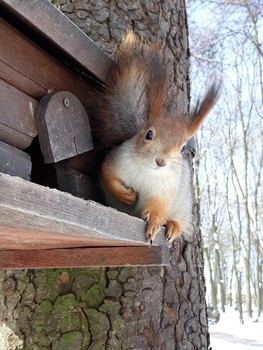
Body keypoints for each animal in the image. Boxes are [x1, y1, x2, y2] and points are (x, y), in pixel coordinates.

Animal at [96, 33, 221, 246]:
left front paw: (154, 222)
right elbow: (108, 175)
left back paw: (173, 226)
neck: (148, 172)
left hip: (183, 207)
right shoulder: (117, 159)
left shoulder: (166, 190)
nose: (161, 162)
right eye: (148, 134)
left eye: (182, 148)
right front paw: (126, 195)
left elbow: (159, 208)